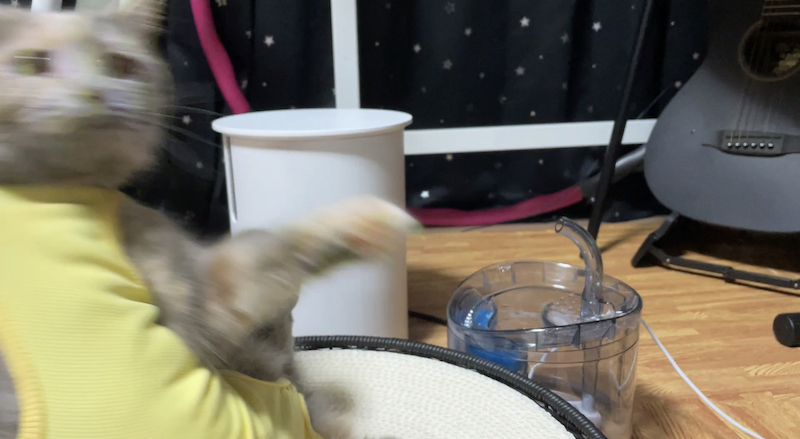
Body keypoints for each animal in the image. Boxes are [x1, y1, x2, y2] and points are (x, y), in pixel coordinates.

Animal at [0, 1, 415, 439]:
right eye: (31, 64)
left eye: (119, 64)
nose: (92, 92)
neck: (67, 194)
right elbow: (269, 250)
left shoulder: (205, 298)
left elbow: (269, 252)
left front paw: (371, 223)